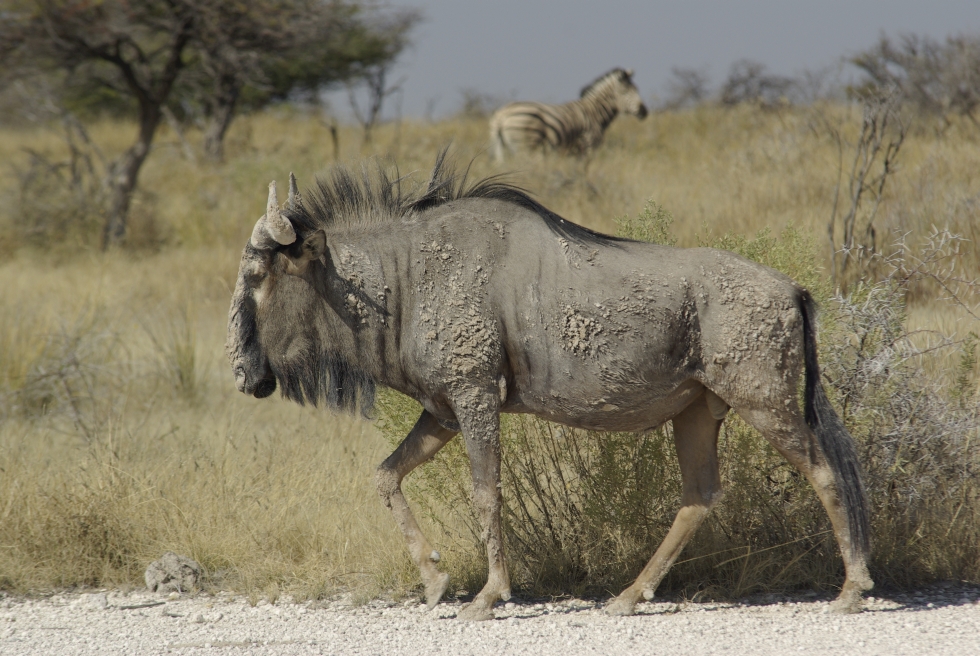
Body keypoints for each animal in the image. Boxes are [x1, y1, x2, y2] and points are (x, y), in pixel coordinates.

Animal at [488, 68, 644, 161]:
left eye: (637, 90)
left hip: (500, 146)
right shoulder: (588, 145)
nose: (644, 111)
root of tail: (502, 114)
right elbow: (584, 172)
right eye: (625, 92)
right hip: (525, 145)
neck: (595, 112)